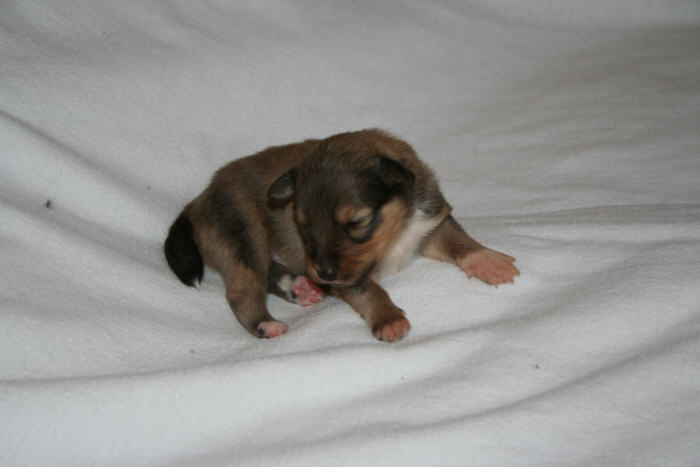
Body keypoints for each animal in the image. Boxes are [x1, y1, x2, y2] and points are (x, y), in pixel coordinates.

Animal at [164, 129, 518, 342]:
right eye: (302, 224)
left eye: (356, 222)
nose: (323, 274)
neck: (394, 234)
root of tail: (198, 199)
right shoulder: (349, 274)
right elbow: (370, 291)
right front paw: (389, 319)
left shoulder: (430, 222)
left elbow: (461, 241)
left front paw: (491, 263)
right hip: (244, 236)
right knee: (242, 291)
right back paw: (268, 324)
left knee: (270, 276)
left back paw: (300, 288)